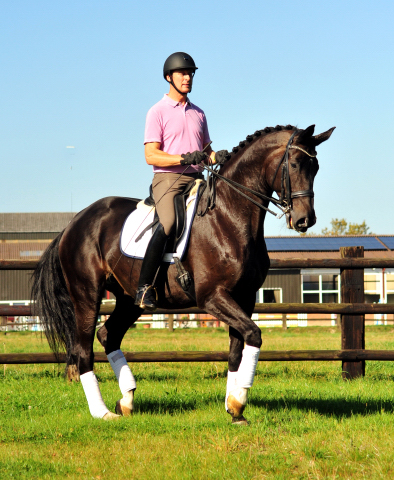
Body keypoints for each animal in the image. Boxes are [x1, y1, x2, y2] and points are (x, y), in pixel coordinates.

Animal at [30, 123, 334, 424]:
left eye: (316, 167)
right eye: (294, 164)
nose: (305, 220)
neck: (229, 216)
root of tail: (74, 223)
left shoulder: (244, 297)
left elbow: (237, 351)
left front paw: (234, 409)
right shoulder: (212, 297)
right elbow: (254, 334)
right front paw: (237, 402)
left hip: (129, 299)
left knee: (109, 335)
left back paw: (126, 401)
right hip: (87, 295)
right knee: (83, 350)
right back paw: (102, 412)